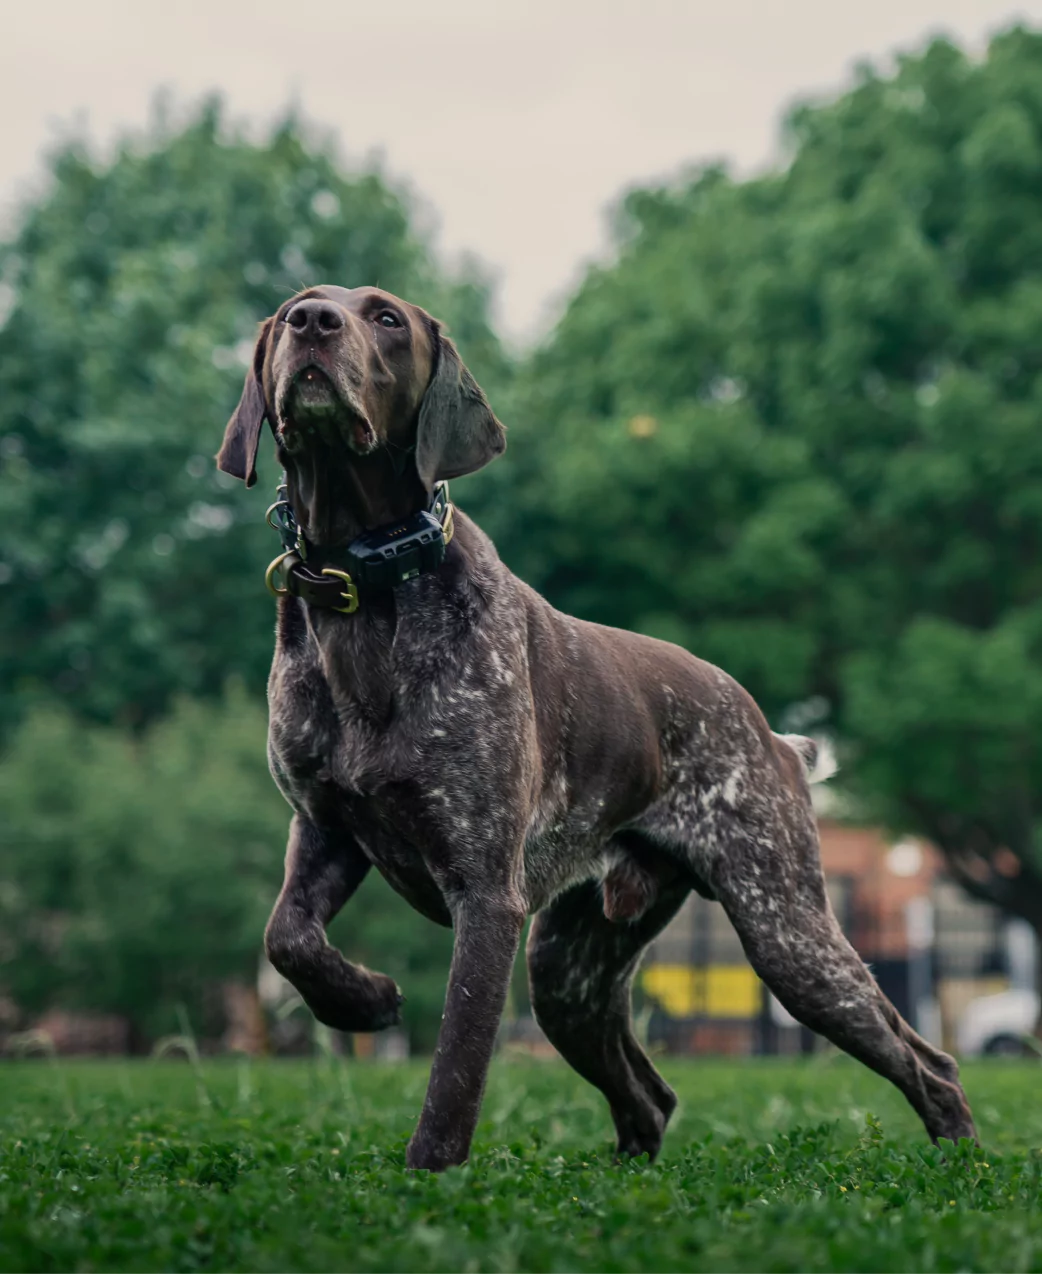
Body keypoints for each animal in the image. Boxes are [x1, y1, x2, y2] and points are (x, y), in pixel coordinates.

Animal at [217, 284, 973, 1166]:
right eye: (292, 310)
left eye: (387, 319)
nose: (314, 324)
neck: (366, 592)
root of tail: (773, 736)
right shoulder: (326, 829)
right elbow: (288, 937)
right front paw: (363, 999)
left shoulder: (486, 895)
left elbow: (455, 1070)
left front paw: (429, 1171)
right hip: (569, 974)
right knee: (650, 1094)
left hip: (787, 937)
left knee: (929, 1062)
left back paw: (961, 1158)